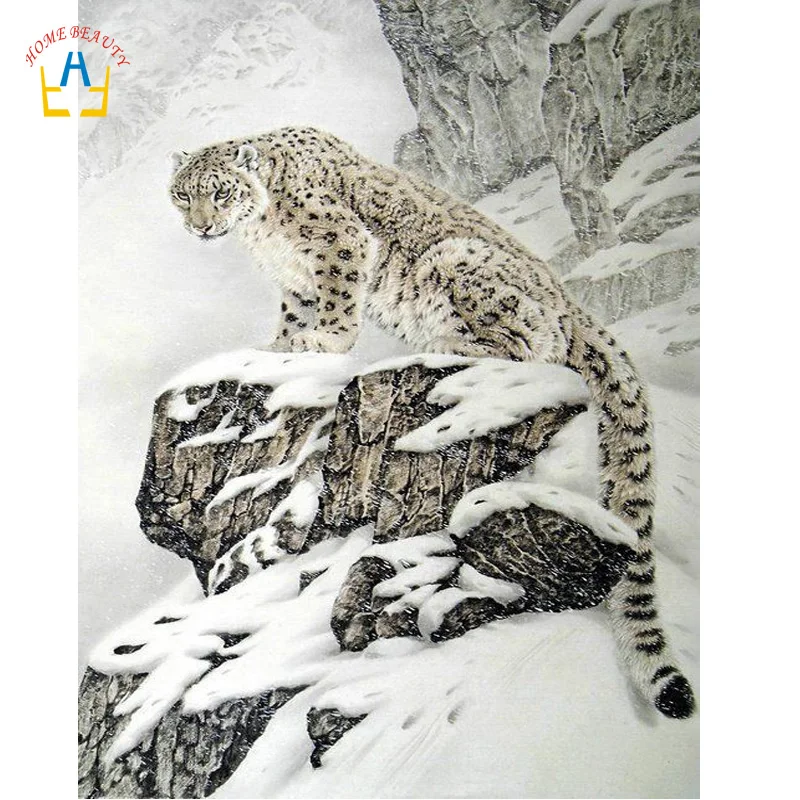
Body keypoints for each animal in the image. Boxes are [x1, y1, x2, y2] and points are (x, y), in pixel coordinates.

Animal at [169, 126, 695, 719]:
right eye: (184, 195)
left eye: (221, 191)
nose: (201, 225)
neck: (263, 233)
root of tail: (573, 304)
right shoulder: (295, 282)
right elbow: (291, 318)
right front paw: (280, 348)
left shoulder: (335, 243)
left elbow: (336, 302)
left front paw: (322, 342)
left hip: (458, 265)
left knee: (527, 342)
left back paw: (447, 345)